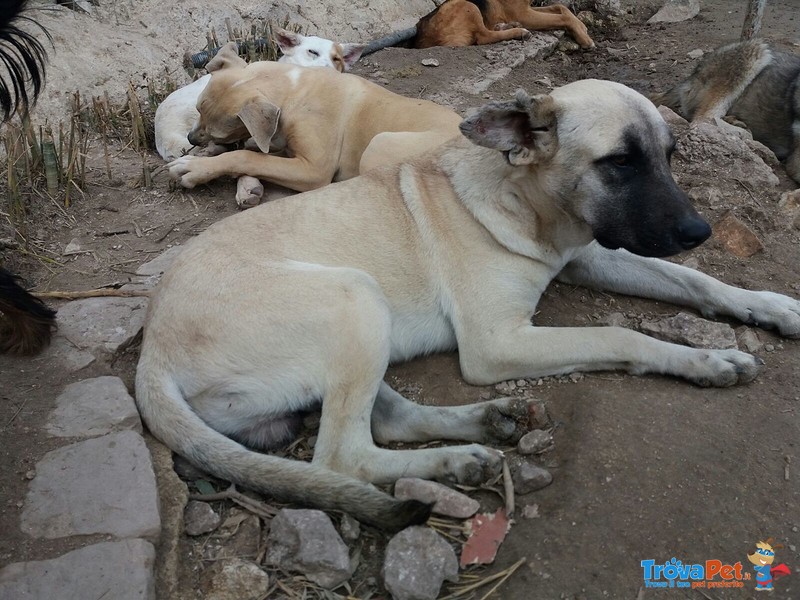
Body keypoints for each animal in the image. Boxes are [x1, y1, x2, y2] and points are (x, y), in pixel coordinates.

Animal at [139, 78, 800, 528]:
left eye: (670, 156)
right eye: (618, 162)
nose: (700, 233)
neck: (525, 203)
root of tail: (150, 355)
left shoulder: (591, 254)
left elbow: (694, 282)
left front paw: (768, 307)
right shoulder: (497, 343)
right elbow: (623, 336)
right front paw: (704, 361)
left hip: (360, 322)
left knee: (385, 421)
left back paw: (477, 435)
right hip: (355, 296)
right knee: (341, 458)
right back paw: (451, 459)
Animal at [170, 41, 462, 195]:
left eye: (219, 131)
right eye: (197, 109)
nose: (191, 139)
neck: (295, 89)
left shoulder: (311, 169)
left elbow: (247, 156)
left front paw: (196, 168)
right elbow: (257, 152)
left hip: (379, 144)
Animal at [410, 0, 592, 49]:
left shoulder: (526, 9)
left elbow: (560, 7)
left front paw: (582, 27)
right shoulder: (524, 14)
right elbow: (562, 18)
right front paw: (584, 38)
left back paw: (507, 26)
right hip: (468, 5)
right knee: (483, 37)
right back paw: (518, 31)